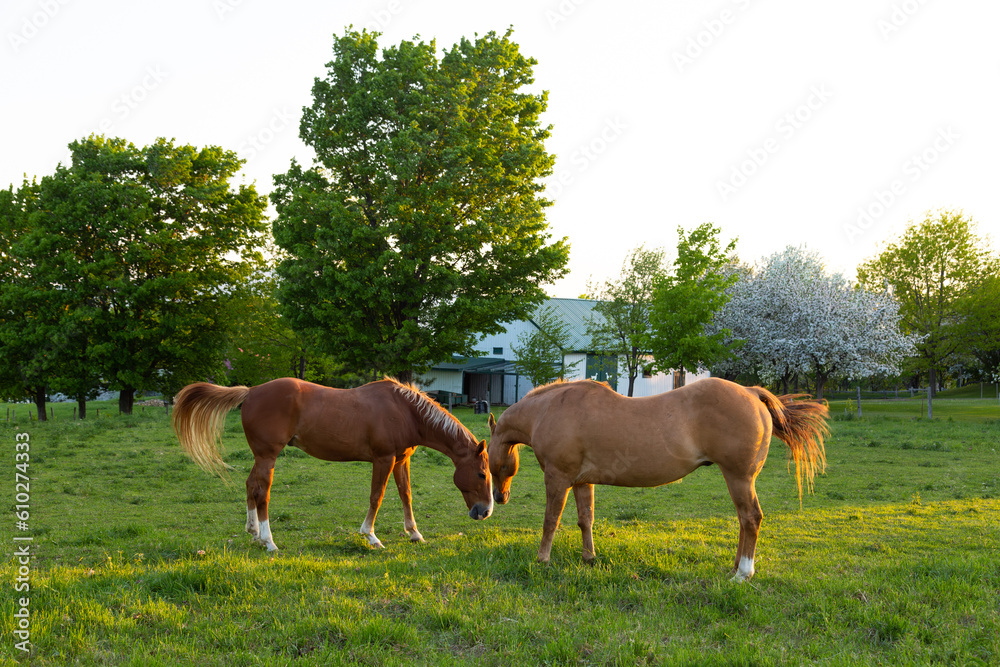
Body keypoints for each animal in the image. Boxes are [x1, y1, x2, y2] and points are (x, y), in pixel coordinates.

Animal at [172, 377, 493, 552]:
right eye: (481, 474)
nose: (485, 512)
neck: (405, 410)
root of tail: (250, 391)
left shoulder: (402, 459)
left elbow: (406, 495)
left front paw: (414, 533)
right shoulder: (383, 459)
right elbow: (376, 496)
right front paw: (371, 536)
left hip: (260, 457)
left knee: (251, 485)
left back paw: (254, 534)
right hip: (268, 456)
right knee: (262, 491)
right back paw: (269, 541)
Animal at [487, 377, 828, 581]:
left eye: (488, 460)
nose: (499, 498)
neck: (549, 410)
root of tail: (751, 392)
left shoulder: (558, 479)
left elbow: (550, 521)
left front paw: (542, 559)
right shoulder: (583, 482)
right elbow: (586, 520)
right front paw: (589, 557)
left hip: (739, 478)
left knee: (751, 518)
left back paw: (743, 572)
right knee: (744, 522)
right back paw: (735, 567)